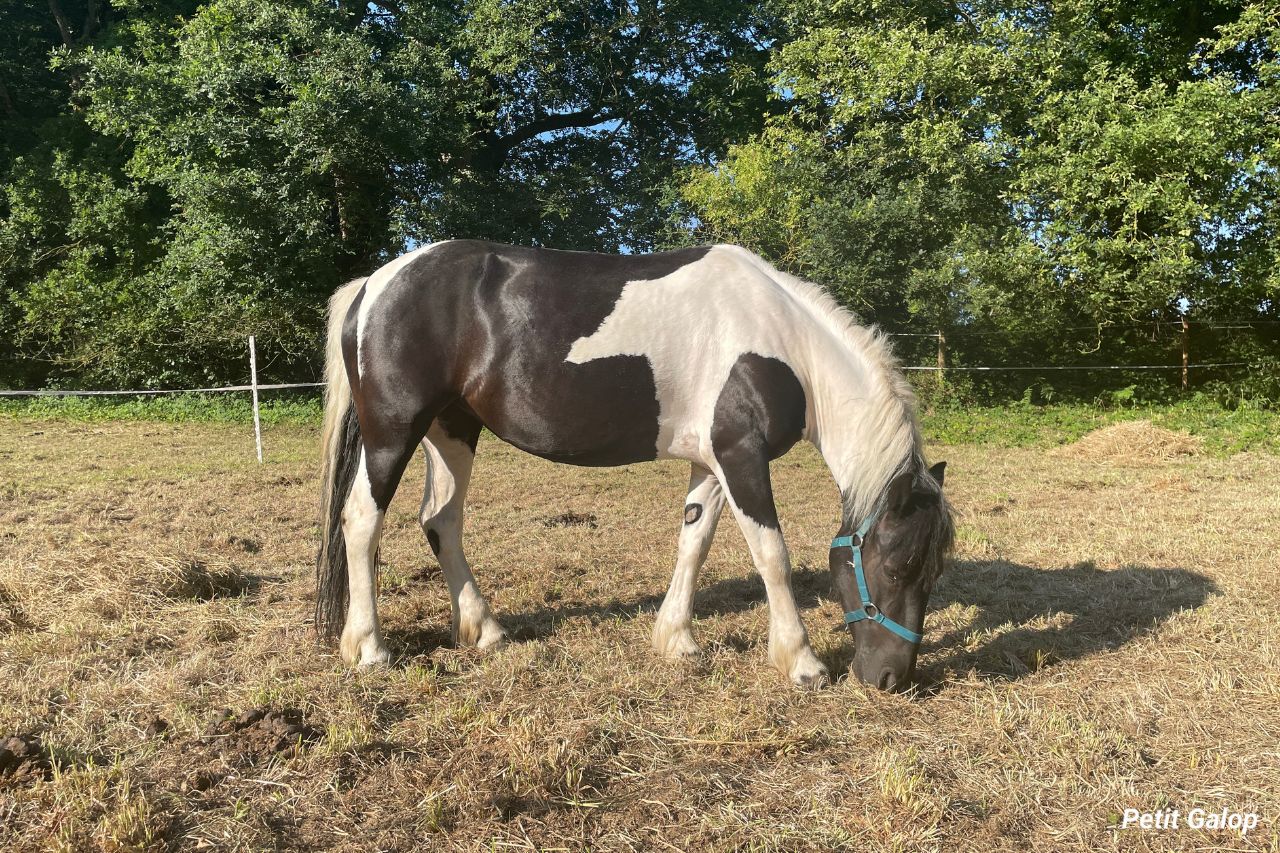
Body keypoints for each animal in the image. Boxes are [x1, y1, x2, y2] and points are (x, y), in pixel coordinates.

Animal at [315, 240, 954, 691]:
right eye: (897, 567)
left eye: (935, 573)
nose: (891, 679)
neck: (783, 344)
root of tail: (374, 285)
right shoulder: (741, 457)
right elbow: (773, 555)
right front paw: (802, 662)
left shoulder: (712, 464)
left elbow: (693, 542)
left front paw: (676, 640)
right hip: (394, 433)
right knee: (362, 521)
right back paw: (369, 647)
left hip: (452, 431)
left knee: (441, 521)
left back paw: (485, 631)